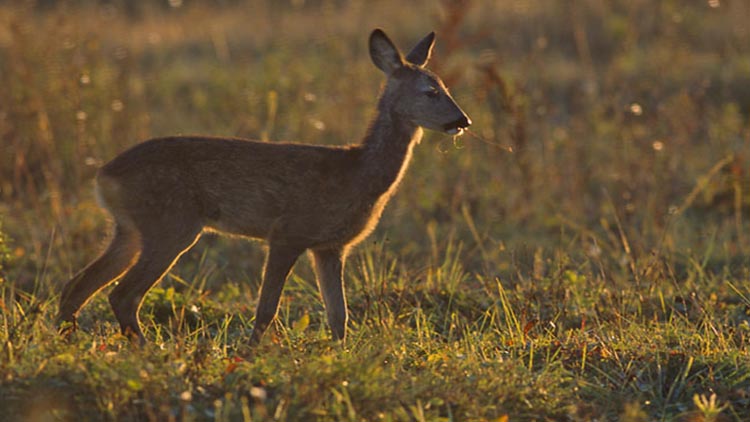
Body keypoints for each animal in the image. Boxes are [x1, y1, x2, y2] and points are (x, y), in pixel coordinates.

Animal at [57, 29, 470, 346]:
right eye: (430, 91)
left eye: (446, 86)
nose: (462, 120)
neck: (358, 173)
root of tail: (104, 177)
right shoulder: (288, 233)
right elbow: (267, 309)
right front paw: (252, 354)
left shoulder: (330, 247)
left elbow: (339, 315)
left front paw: (342, 356)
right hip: (170, 225)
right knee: (122, 294)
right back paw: (148, 350)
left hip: (130, 229)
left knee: (76, 285)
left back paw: (68, 343)